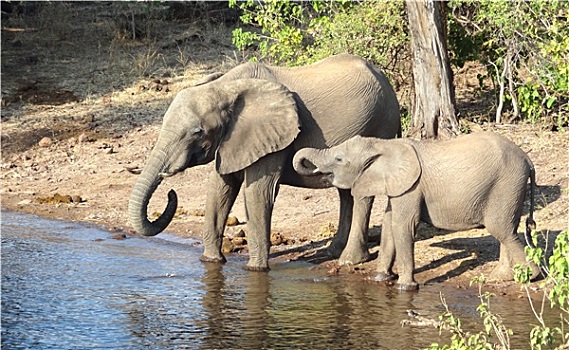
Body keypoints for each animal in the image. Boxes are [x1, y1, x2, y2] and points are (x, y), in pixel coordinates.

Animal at [128, 53, 400, 270]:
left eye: (197, 132)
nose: (171, 192)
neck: (226, 87)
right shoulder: (232, 139)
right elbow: (220, 188)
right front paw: (211, 261)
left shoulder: (273, 137)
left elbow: (258, 192)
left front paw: (255, 270)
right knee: (345, 193)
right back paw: (333, 252)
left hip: (380, 125)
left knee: (361, 193)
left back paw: (349, 260)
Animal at [296, 131, 540, 290]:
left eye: (339, 159)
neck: (383, 145)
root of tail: (528, 159)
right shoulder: (398, 186)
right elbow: (389, 224)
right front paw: (380, 279)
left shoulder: (411, 186)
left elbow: (402, 225)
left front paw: (405, 287)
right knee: (507, 230)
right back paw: (500, 278)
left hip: (507, 183)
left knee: (502, 230)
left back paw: (532, 275)